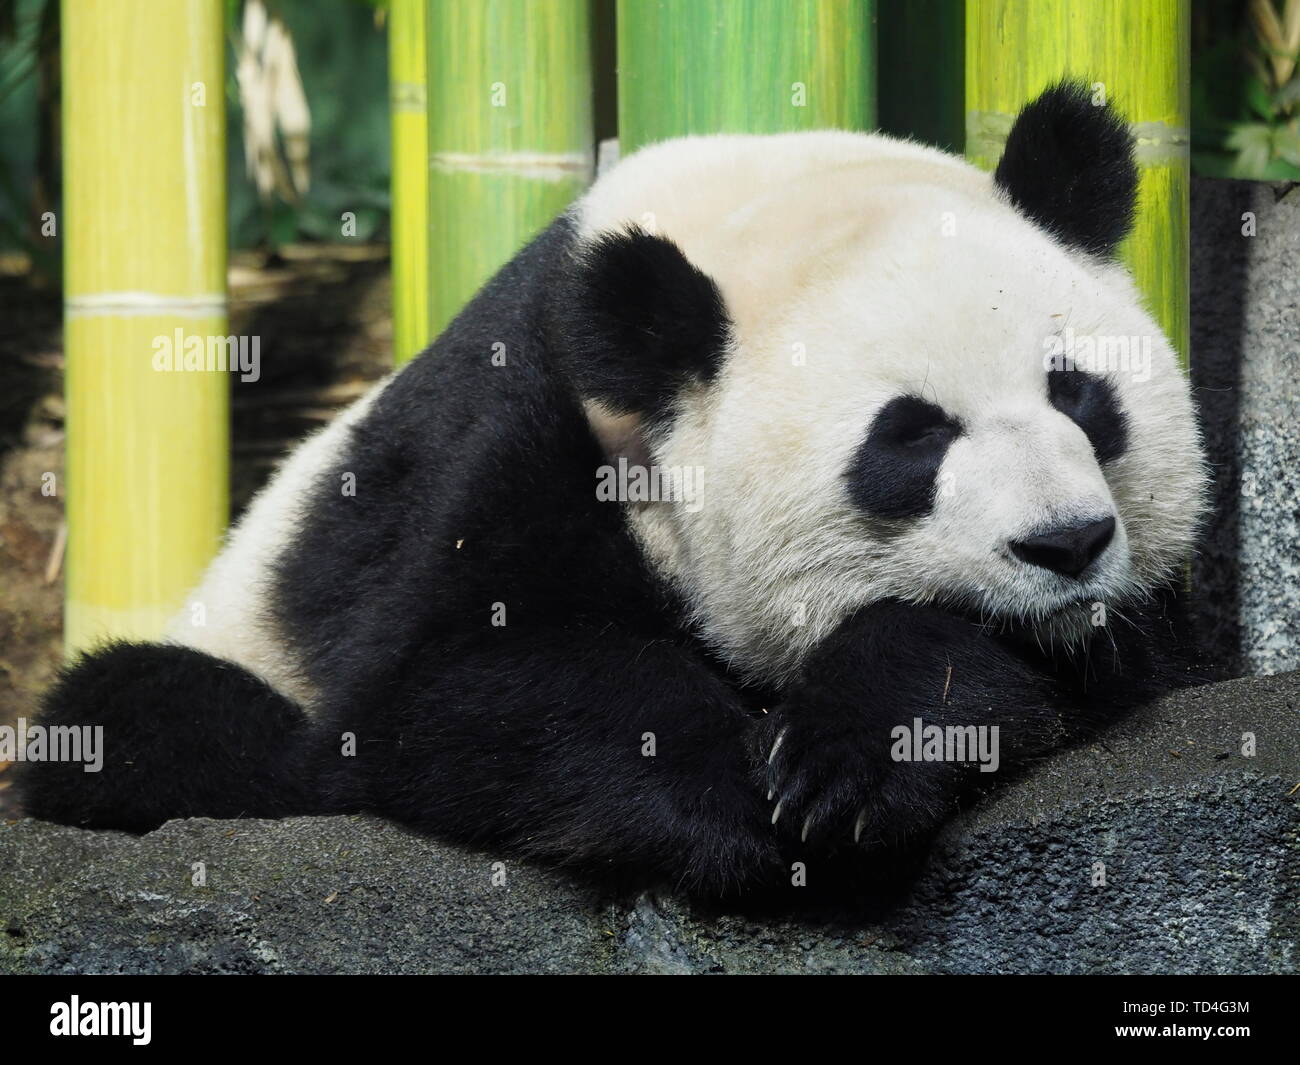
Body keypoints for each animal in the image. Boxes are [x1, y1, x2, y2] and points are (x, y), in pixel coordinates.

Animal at [21, 83, 1207, 895]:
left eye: (1078, 393)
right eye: (910, 440)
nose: (1066, 543)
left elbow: (1099, 652)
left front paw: (846, 764)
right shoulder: (526, 427)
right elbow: (447, 686)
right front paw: (741, 799)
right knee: (140, 718)